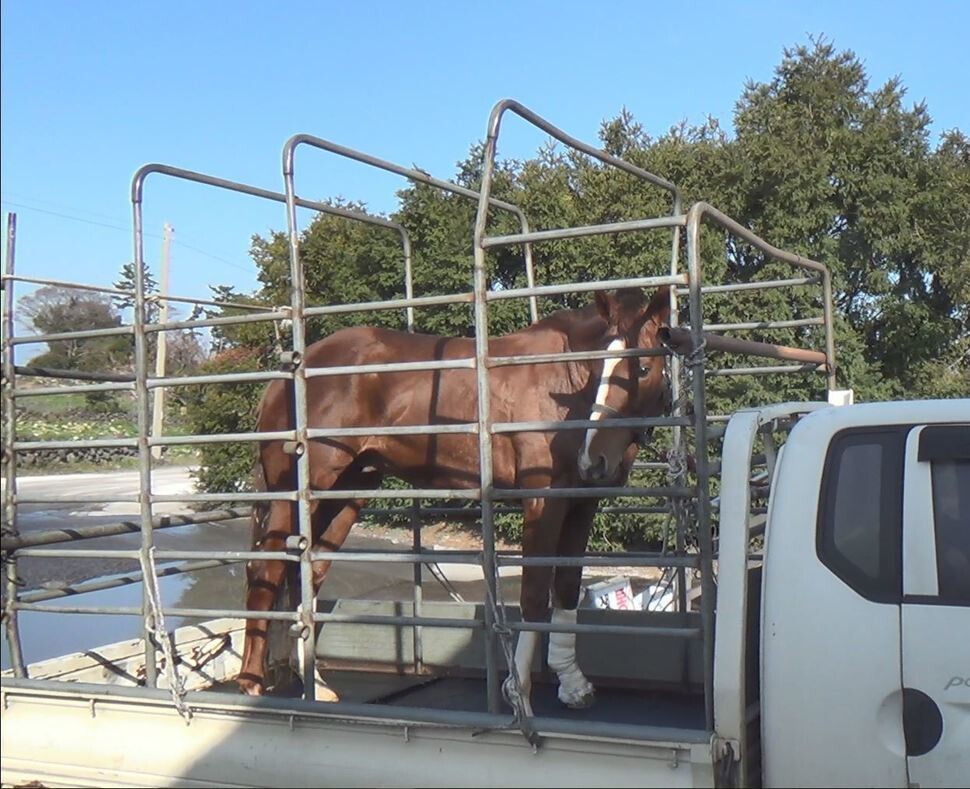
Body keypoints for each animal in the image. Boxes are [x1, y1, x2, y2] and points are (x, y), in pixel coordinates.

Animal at [238, 286, 668, 712]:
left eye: (643, 369)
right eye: (600, 369)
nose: (593, 458)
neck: (561, 384)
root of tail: (291, 371)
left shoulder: (582, 504)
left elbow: (566, 588)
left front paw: (573, 684)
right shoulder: (542, 502)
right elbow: (533, 595)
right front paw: (519, 691)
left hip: (344, 493)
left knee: (305, 572)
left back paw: (314, 682)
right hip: (296, 493)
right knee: (267, 569)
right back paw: (251, 684)